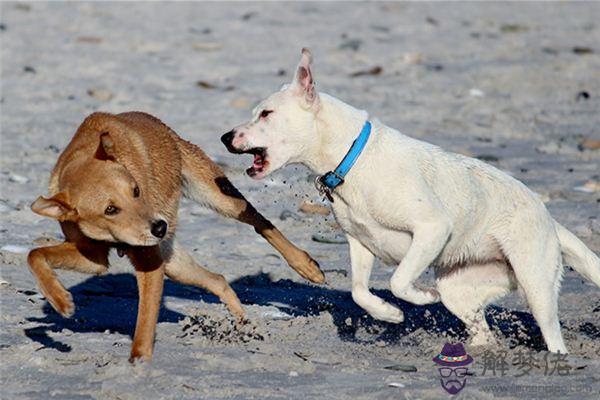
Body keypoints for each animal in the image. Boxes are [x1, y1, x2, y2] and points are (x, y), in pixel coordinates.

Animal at [27, 111, 324, 360]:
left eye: (136, 190)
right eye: (110, 209)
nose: (160, 227)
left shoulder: (150, 262)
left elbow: (145, 323)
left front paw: (139, 365)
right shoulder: (94, 256)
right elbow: (35, 255)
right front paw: (60, 300)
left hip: (220, 197)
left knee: (261, 222)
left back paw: (306, 266)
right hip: (175, 265)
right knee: (219, 280)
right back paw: (244, 325)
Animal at [224, 49, 600, 354]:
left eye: (266, 114)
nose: (225, 136)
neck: (351, 158)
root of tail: (550, 219)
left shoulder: (432, 228)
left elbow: (399, 280)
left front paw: (419, 298)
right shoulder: (360, 243)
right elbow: (359, 291)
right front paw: (389, 314)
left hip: (535, 286)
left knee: (552, 334)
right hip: (460, 290)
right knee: (482, 332)